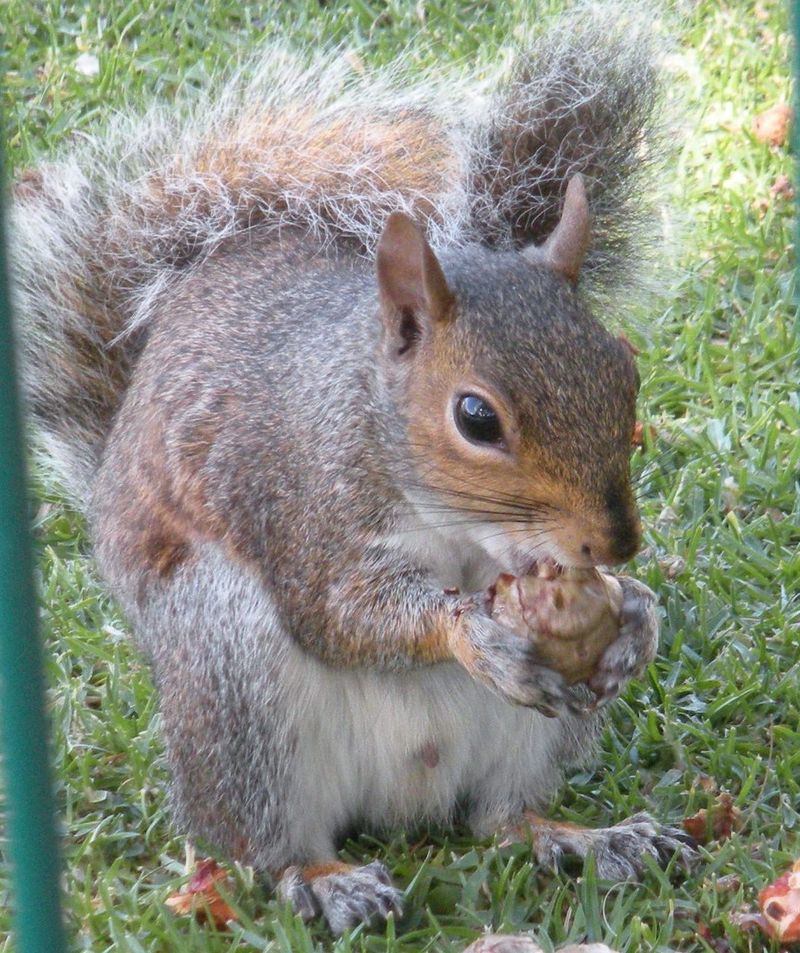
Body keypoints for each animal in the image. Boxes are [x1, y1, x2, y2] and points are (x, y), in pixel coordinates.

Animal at [7, 3, 692, 932]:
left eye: (625, 370)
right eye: (476, 417)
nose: (615, 544)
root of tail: (403, 802)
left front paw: (638, 615)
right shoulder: (299, 500)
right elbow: (342, 613)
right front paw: (471, 632)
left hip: (531, 736)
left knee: (500, 817)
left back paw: (588, 837)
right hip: (227, 663)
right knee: (263, 843)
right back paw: (327, 878)